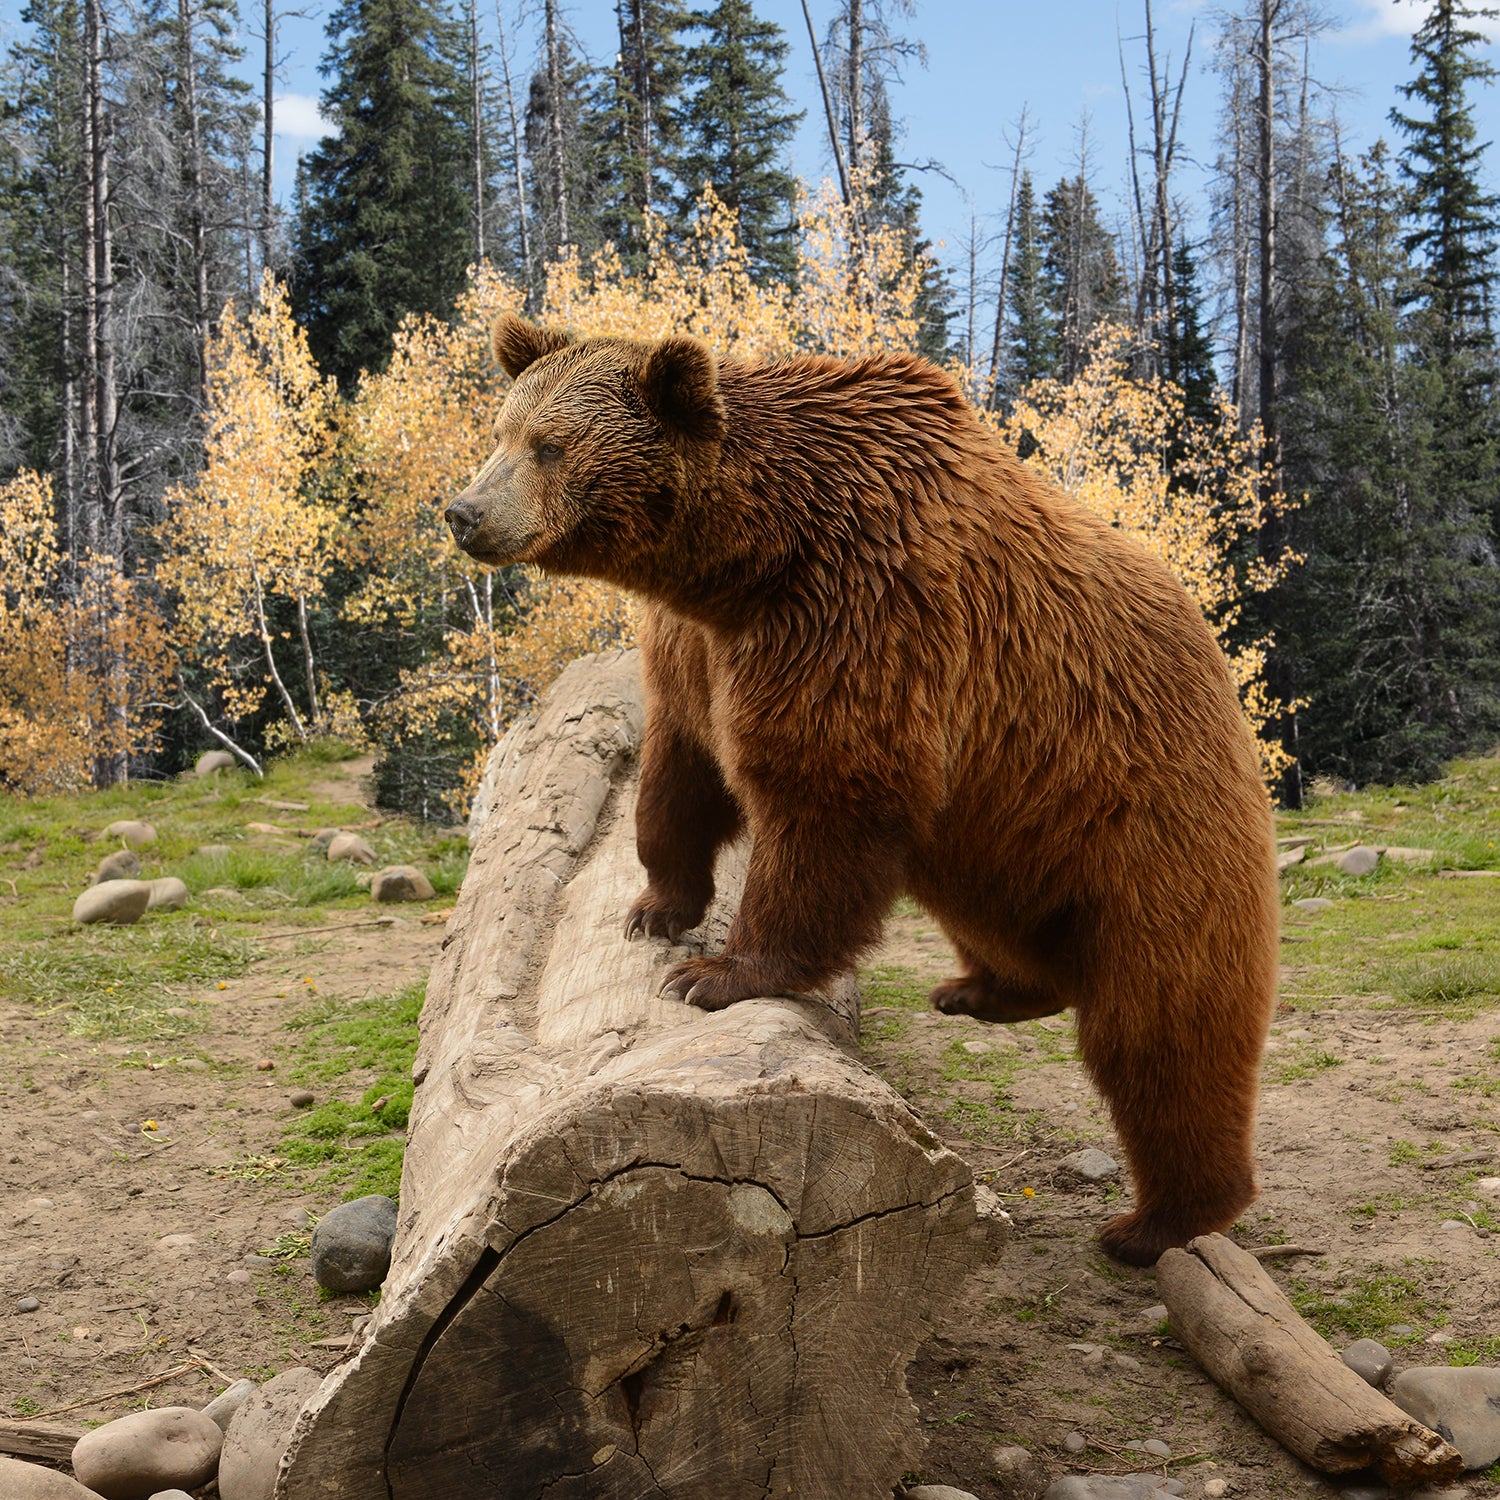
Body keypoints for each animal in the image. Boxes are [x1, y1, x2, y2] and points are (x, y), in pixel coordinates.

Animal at [444, 316, 1278, 1266]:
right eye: (502, 430)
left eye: (550, 444)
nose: (465, 512)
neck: (747, 562)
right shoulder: (697, 651)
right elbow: (678, 776)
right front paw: (656, 908)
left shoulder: (861, 621)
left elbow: (824, 803)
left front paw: (715, 974)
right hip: (1003, 829)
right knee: (1004, 920)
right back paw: (983, 990)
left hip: (1145, 816)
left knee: (1162, 1032)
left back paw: (1156, 1221)